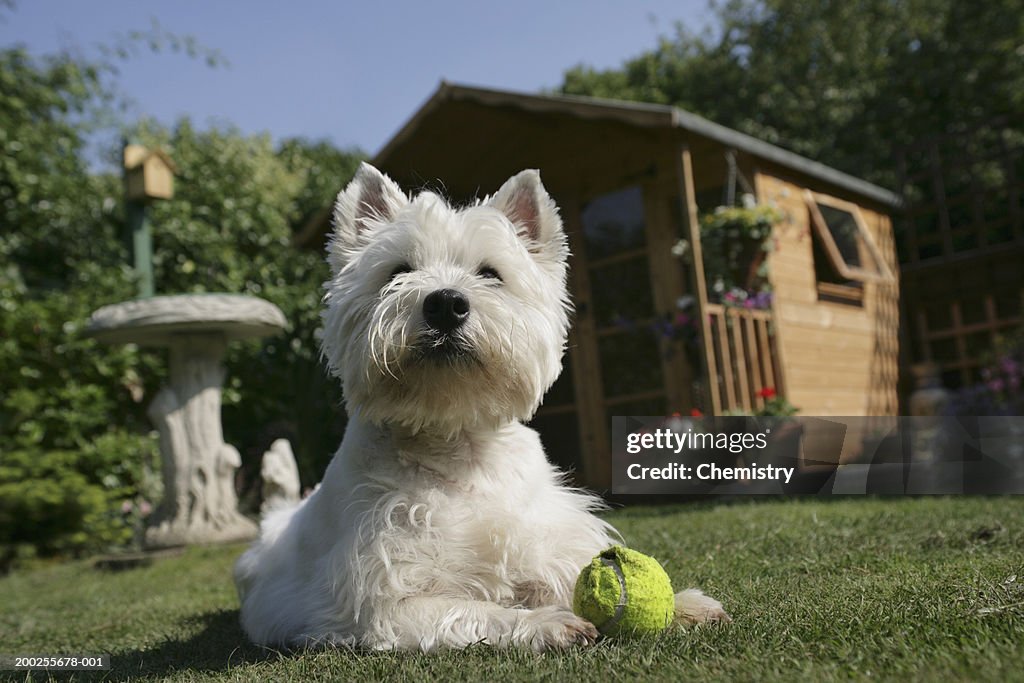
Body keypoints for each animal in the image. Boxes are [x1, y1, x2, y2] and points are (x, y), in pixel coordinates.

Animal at [234, 161, 729, 651]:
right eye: (397, 271)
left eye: (491, 273)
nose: (445, 303)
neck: (457, 445)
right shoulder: (384, 602)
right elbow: (472, 611)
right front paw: (546, 623)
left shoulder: (540, 540)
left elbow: (567, 573)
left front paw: (682, 605)